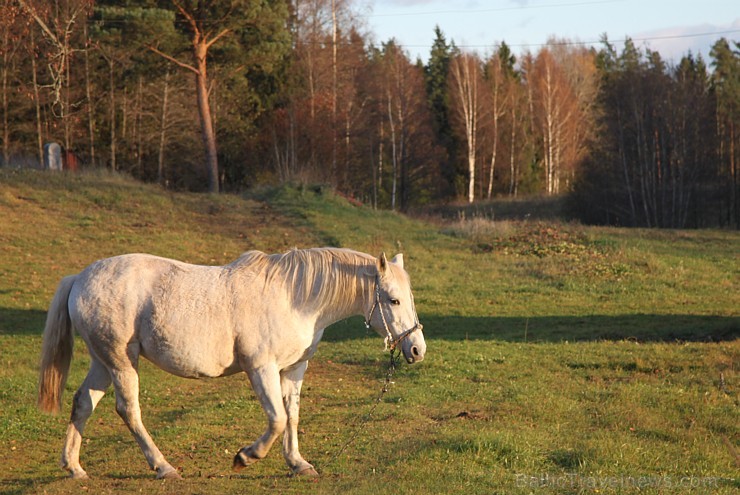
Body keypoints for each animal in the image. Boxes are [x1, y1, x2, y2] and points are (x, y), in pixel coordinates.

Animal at [37, 248, 424, 480]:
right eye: (393, 300)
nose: (417, 348)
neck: (293, 297)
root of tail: (79, 278)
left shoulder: (293, 370)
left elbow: (292, 416)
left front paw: (298, 463)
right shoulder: (261, 368)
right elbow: (276, 419)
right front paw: (246, 456)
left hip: (103, 362)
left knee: (83, 403)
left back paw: (74, 467)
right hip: (121, 361)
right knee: (128, 410)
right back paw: (163, 467)